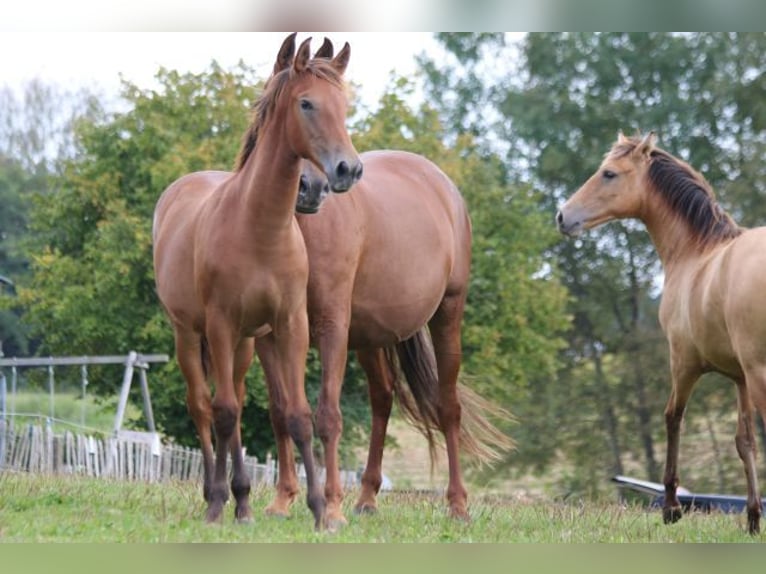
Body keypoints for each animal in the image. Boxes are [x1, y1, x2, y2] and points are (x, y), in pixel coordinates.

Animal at [154, 33, 366, 532]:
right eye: (306, 103)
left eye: (343, 105)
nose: (347, 170)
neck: (259, 229)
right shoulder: (220, 324)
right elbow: (225, 412)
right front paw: (216, 505)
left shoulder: (290, 325)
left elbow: (298, 415)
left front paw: (319, 511)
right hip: (189, 334)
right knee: (204, 406)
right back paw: (216, 494)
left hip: (246, 344)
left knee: (233, 400)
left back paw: (244, 501)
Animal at [260, 150, 512, 532]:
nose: (309, 189)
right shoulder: (267, 337)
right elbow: (280, 412)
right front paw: (282, 501)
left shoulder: (331, 328)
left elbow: (327, 415)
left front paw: (330, 509)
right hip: (370, 339)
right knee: (382, 398)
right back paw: (367, 498)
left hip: (447, 314)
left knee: (448, 408)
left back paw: (457, 506)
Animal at [560, 132, 766, 536]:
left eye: (609, 173)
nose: (563, 216)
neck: (697, 252)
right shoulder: (740, 377)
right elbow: (745, 442)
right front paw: (752, 518)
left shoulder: (684, 363)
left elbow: (672, 418)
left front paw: (671, 506)